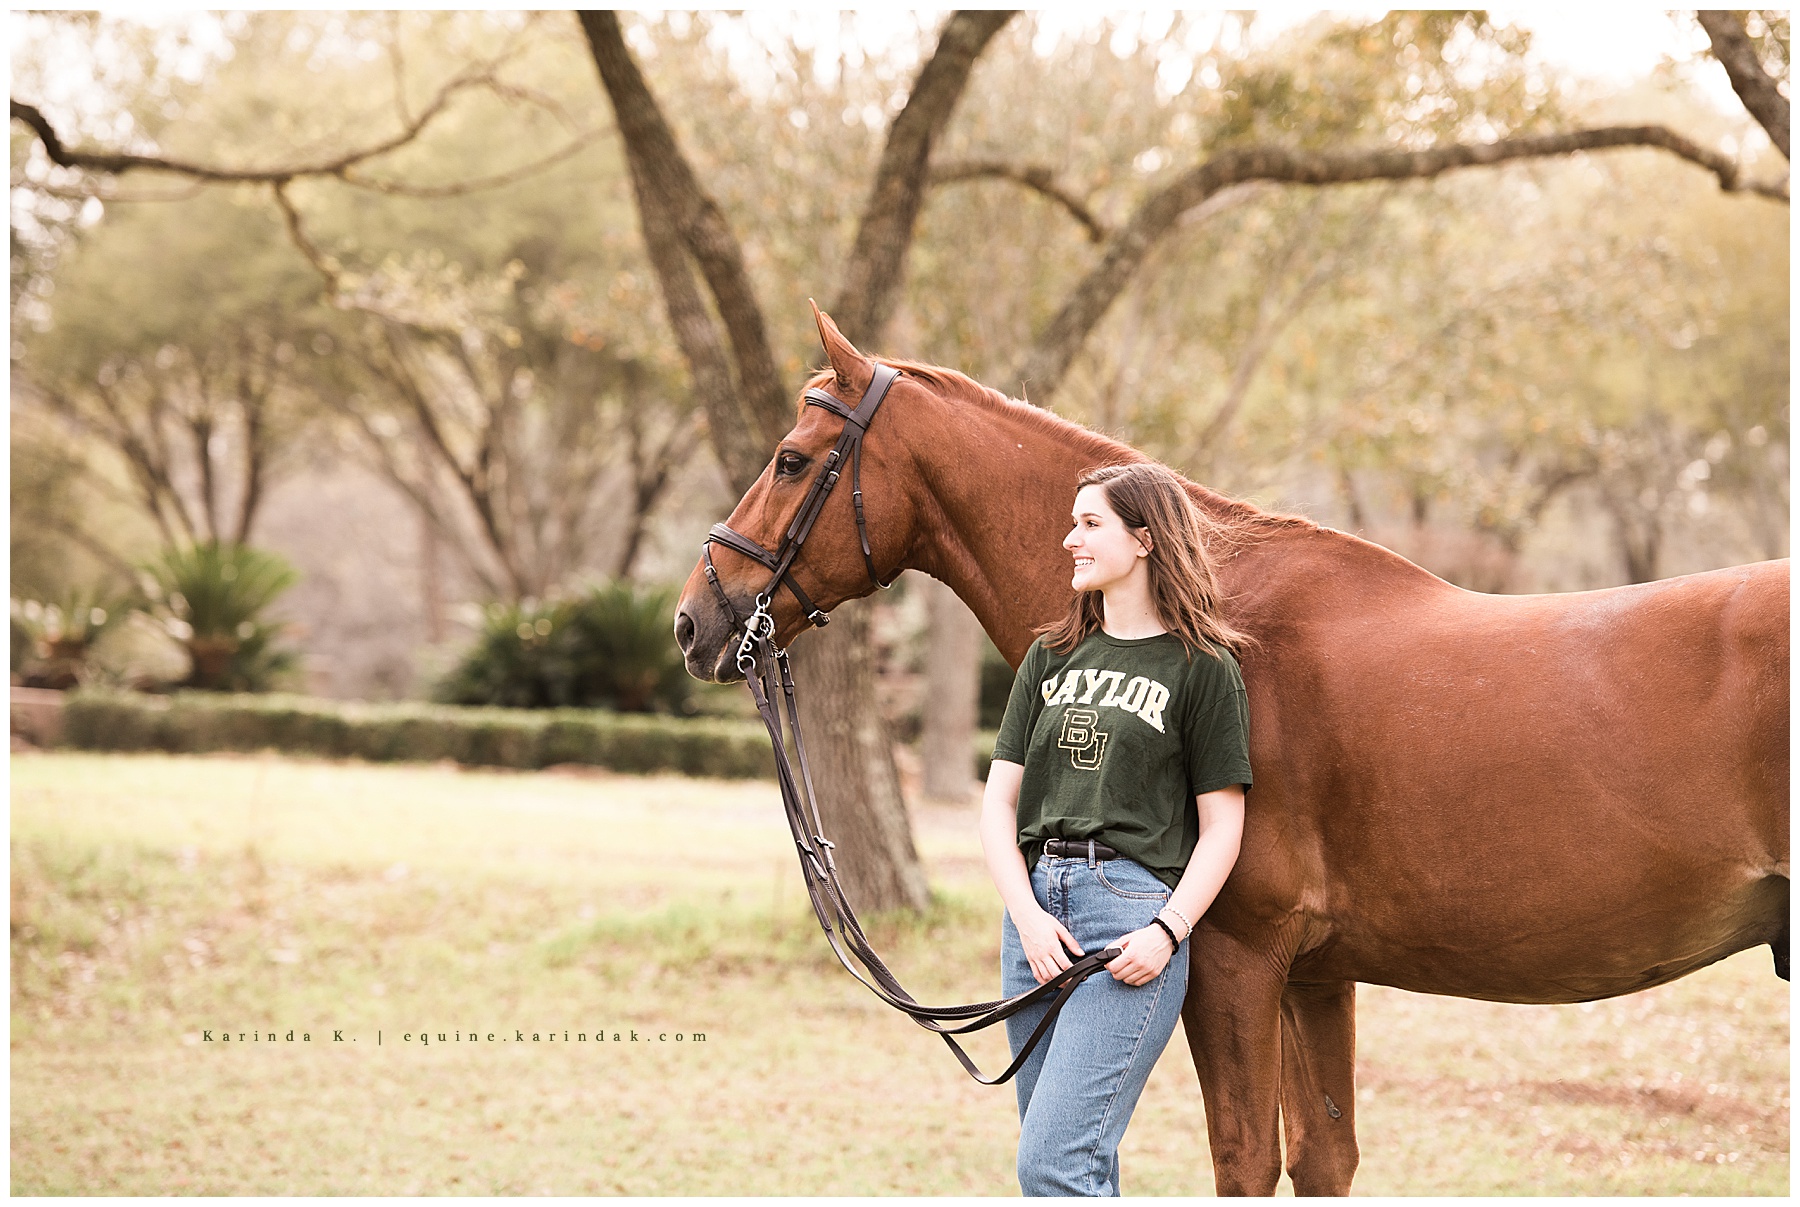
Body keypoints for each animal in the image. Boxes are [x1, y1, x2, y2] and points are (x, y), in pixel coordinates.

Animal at [673, 309, 1790, 1195]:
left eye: (790, 458)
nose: (695, 619)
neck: (1218, 615)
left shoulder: (1231, 957)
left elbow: (1245, 1158)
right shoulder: (1316, 976)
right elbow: (1324, 1159)